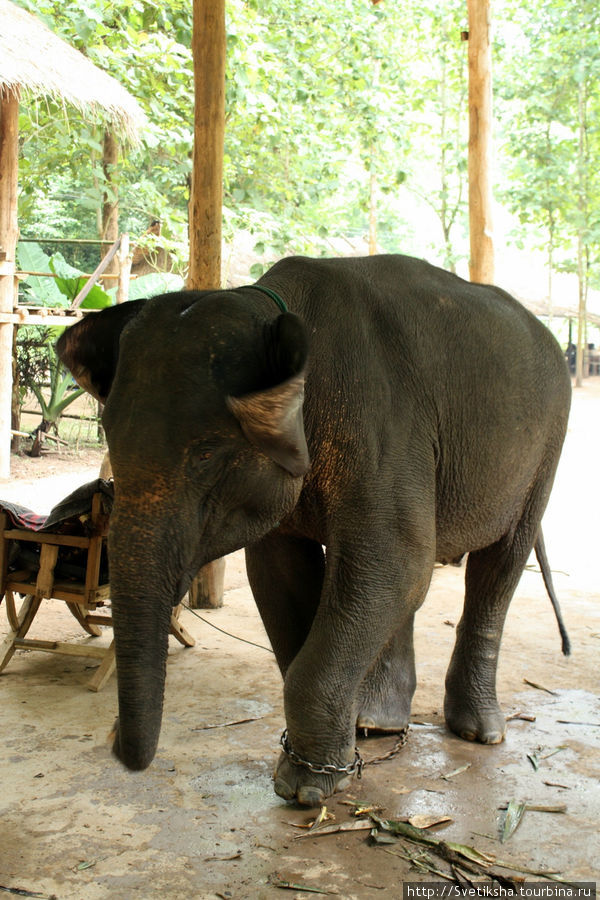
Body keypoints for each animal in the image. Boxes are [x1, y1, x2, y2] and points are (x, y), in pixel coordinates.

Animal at [57, 255, 572, 808]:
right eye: (107, 436)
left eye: (207, 454)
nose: (114, 745)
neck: (276, 311)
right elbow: (283, 576)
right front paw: (325, 763)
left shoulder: (381, 422)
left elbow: (396, 560)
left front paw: (305, 789)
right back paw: (377, 724)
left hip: (546, 447)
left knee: (499, 563)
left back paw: (480, 733)